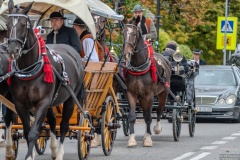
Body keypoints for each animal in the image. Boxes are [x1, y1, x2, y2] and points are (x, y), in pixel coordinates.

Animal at [5, 0, 86, 159]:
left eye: (23, 24)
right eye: (8, 24)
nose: (12, 50)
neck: (29, 70)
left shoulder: (43, 102)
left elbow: (33, 133)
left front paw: (29, 156)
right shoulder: (20, 103)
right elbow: (27, 131)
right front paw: (30, 155)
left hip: (70, 98)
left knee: (64, 125)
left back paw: (59, 153)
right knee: (53, 121)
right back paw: (54, 149)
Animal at [123, 15, 172, 146]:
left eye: (134, 34)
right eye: (123, 33)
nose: (126, 54)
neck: (138, 66)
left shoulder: (149, 95)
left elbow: (149, 117)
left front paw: (148, 139)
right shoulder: (131, 94)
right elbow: (132, 116)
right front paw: (132, 139)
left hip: (163, 93)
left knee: (158, 111)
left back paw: (156, 129)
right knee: (145, 113)